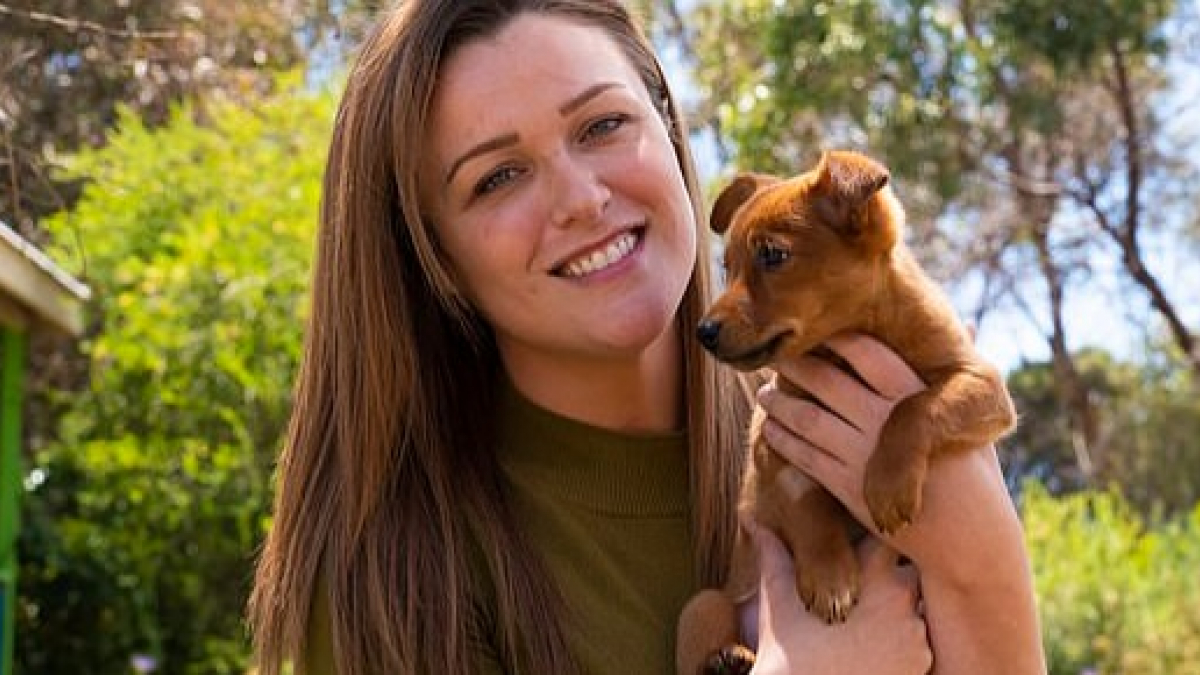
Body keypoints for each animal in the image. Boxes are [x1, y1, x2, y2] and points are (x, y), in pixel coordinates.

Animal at [676, 149, 1012, 667]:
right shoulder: (774, 441)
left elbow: (914, 406)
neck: (848, 339)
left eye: (772, 256)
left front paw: (887, 484)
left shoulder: (982, 383)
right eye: (727, 266)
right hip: (703, 605)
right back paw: (729, 656)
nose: (703, 332)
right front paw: (830, 577)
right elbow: (808, 502)